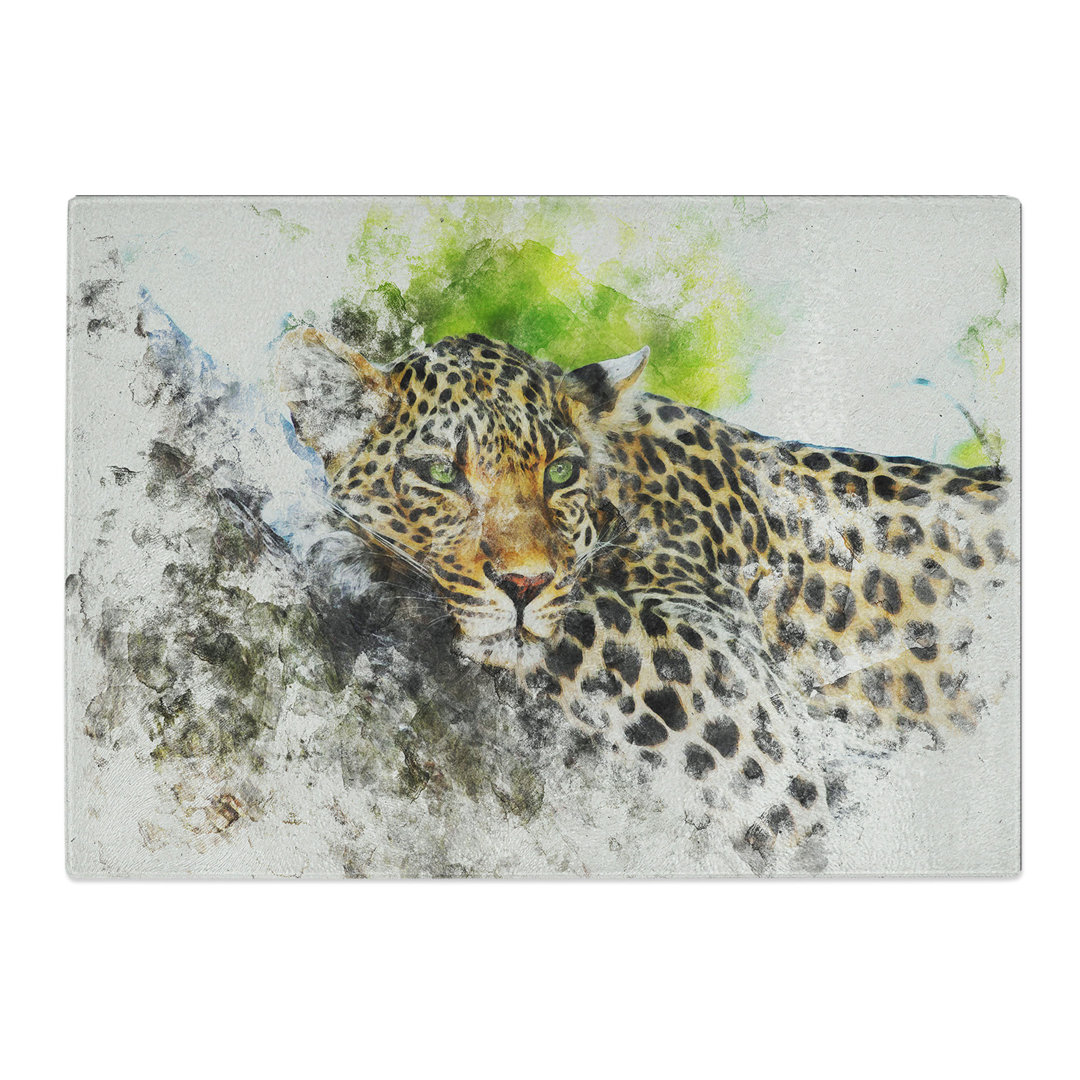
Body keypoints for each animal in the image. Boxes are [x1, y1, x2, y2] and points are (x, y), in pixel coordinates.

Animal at [278, 326, 1011, 870]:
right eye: (437, 473)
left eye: (560, 473)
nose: (524, 583)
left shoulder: (758, 727)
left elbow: (586, 617)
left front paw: (338, 539)